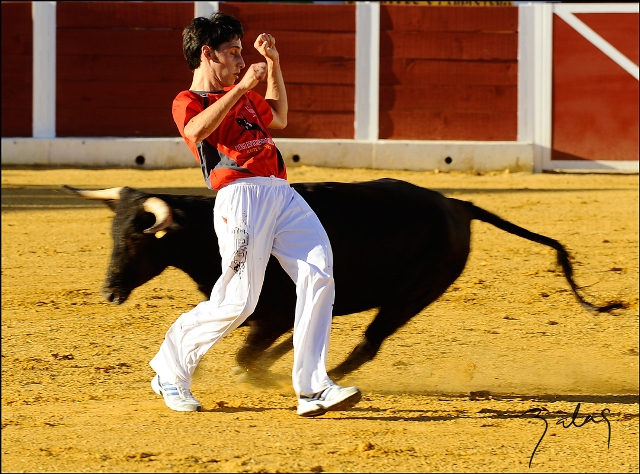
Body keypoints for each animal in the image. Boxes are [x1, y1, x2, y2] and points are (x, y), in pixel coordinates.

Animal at [62, 178, 624, 382]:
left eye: (137, 241)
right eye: (111, 234)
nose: (108, 291)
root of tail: (457, 205)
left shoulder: (268, 313)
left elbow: (251, 352)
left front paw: (255, 373)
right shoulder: (266, 313)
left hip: (413, 294)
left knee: (370, 343)